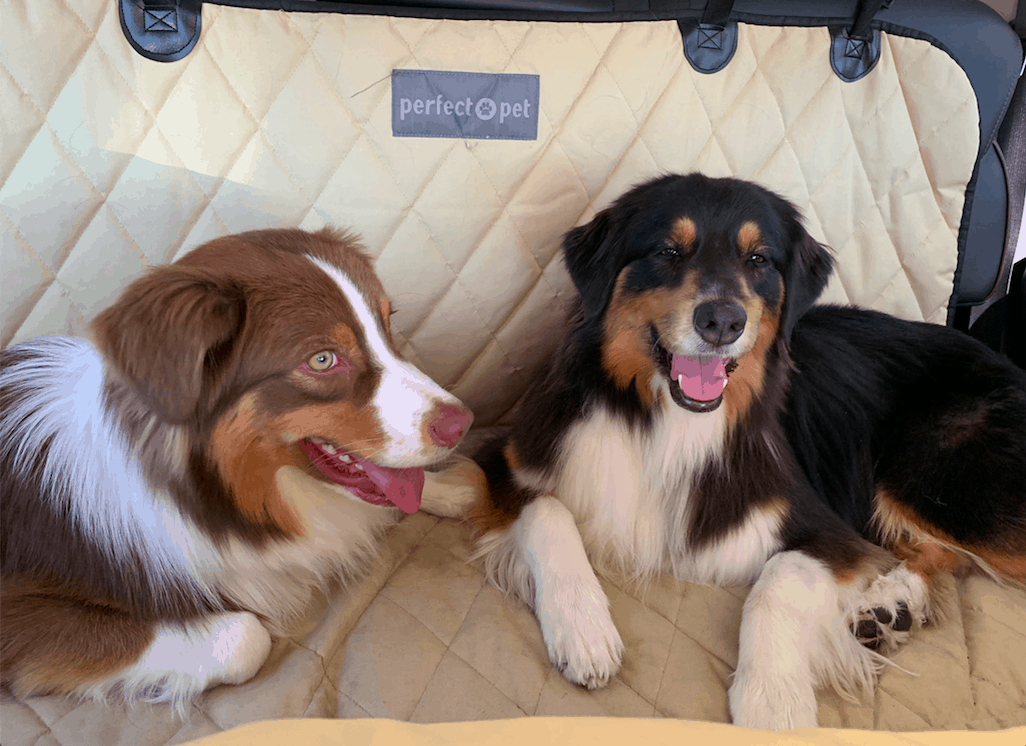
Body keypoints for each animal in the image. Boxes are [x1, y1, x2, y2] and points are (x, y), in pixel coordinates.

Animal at [2, 225, 474, 710]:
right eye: (322, 359)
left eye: (388, 324)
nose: (463, 423)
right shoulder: (18, 607)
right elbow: (247, 637)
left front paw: (450, 488)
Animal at [457, 173, 1026, 730]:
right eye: (668, 251)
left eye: (759, 261)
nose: (722, 321)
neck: (668, 420)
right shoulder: (508, 456)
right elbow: (548, 511)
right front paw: (583, 625)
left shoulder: (821, 523)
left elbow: (778, 576)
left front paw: (773, 702)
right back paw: (891, 606)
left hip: (931, 481)